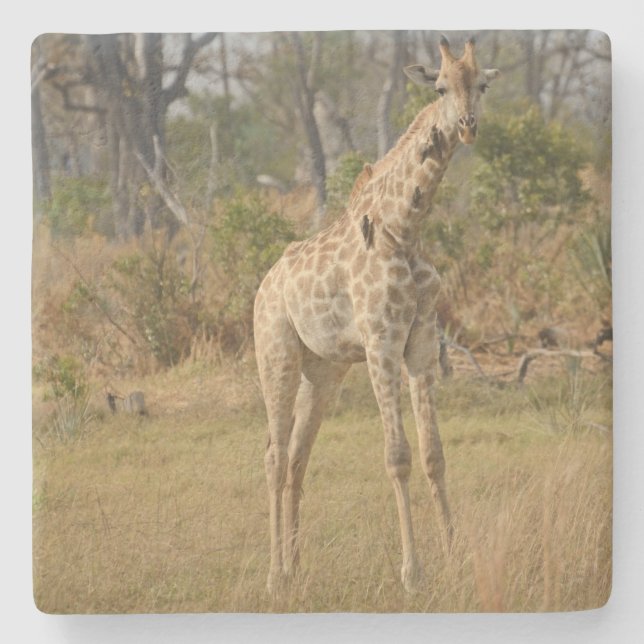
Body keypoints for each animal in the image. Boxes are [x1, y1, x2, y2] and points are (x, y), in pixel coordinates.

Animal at [253, 36, 499, 593]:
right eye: (438, 86)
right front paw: (413, 573)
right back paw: (274, 574)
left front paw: (453, 557)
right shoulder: (381, 342)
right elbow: (398, 457)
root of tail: (263, 286)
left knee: (297, 455)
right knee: (274, 457)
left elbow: (433, 453)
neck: (403, 229)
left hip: (323, 370)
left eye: (482, 84)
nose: (467, 125)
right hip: (275, 355)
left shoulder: (421, 340)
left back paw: (296, 566)